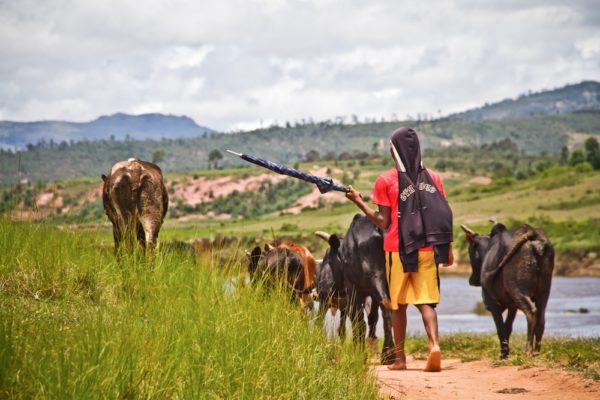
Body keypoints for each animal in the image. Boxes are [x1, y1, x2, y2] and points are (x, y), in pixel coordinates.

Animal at [462, 220, 556, 358]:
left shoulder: (493, 304)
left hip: (518, 290)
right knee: (540, 316)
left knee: (531, 312)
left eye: (469, 252)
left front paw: (504, 354)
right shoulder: (512, 306)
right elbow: (508, 327)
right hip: (544, 291)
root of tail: (532, 232)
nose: (472, 280)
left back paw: (528, 350)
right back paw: (536, 352)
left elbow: (500, 328)